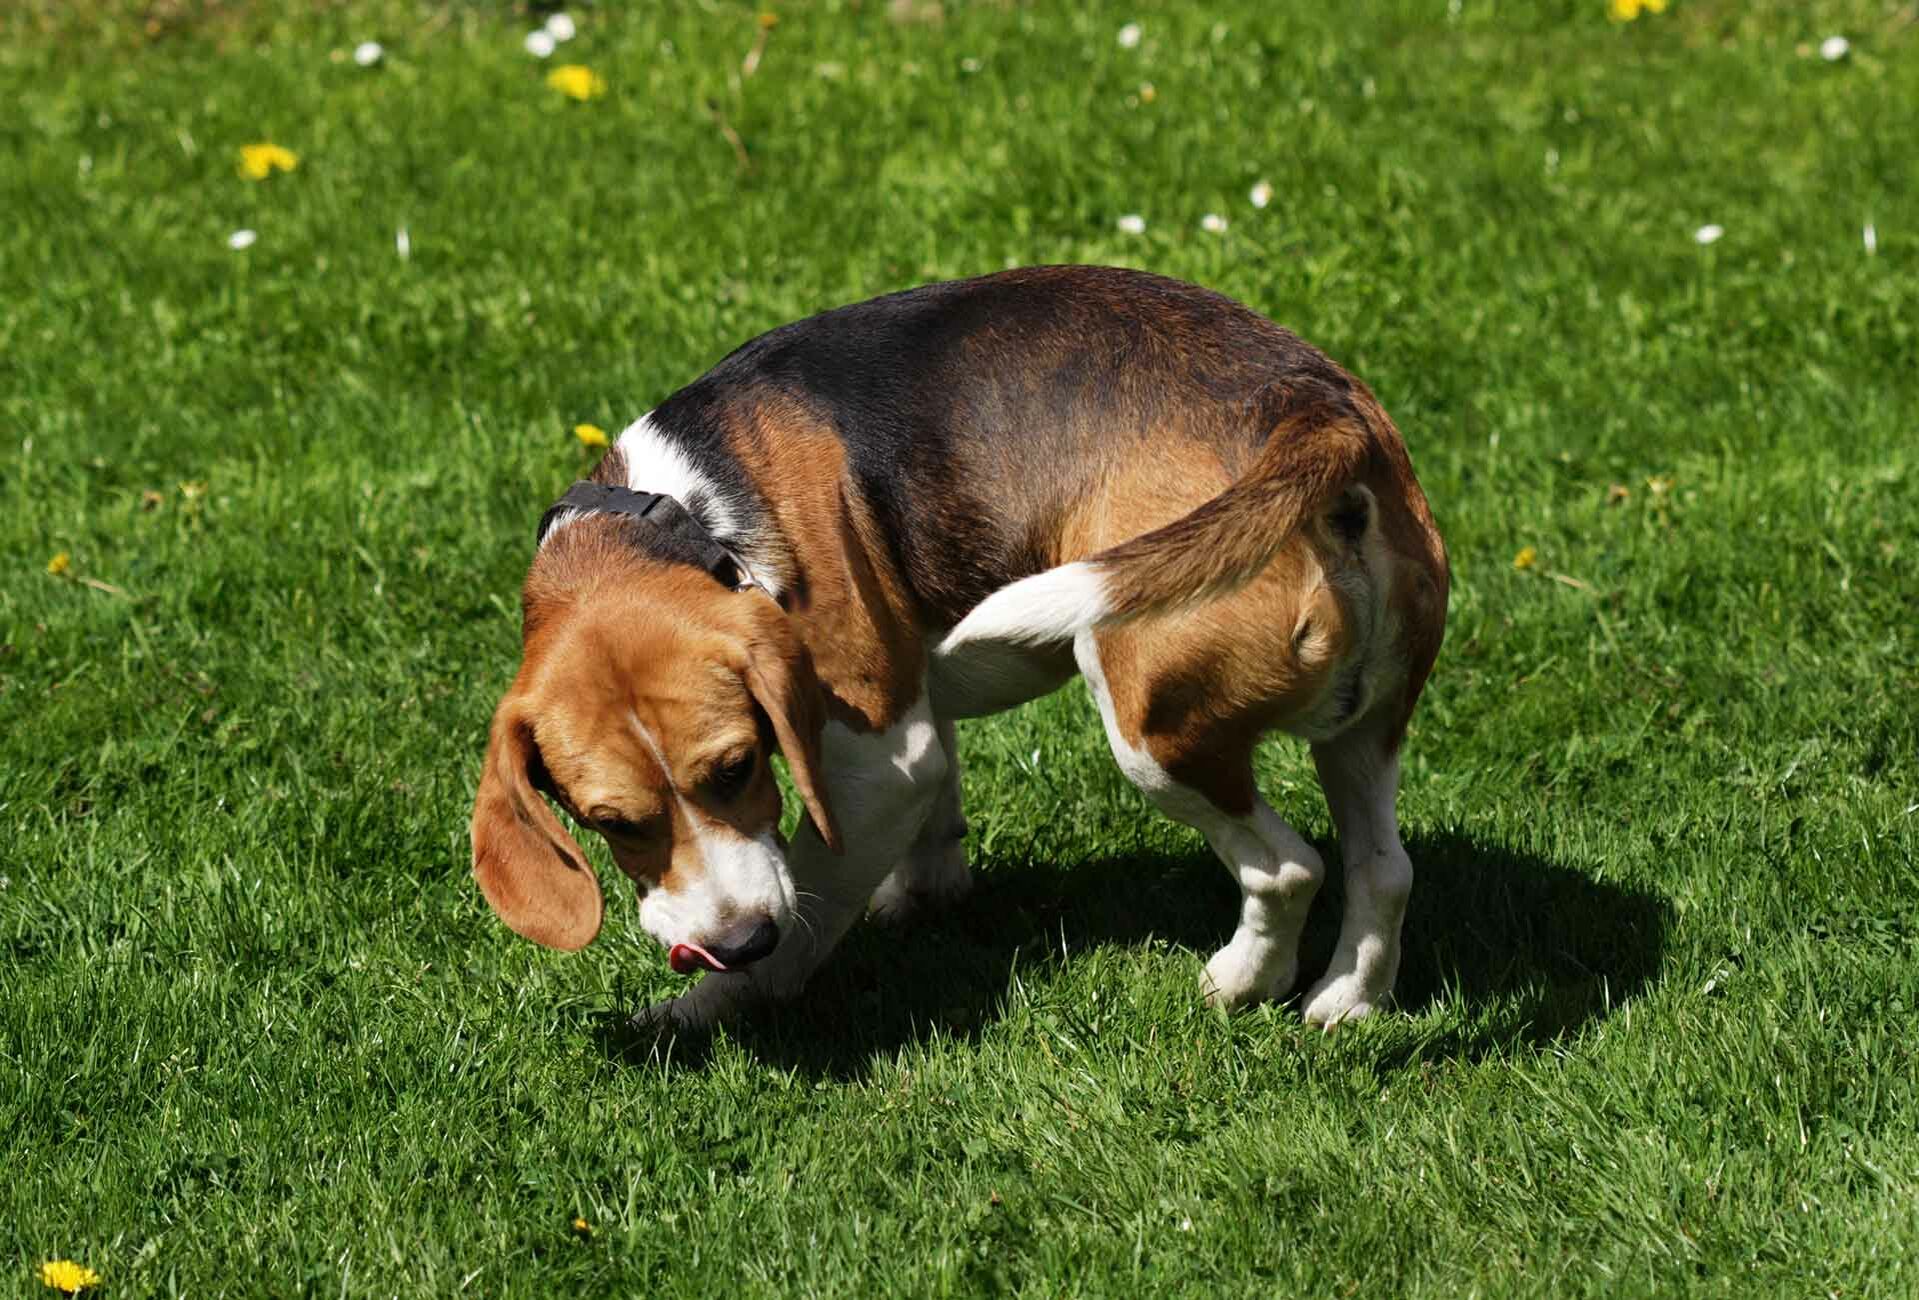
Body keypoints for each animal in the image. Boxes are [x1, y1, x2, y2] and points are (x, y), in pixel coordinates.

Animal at [472, 268, 1443, 1029]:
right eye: (609, 824)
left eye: (738, 768)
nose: (734, 942)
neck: (686, 517)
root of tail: (1311, 406)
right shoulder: (914, 736)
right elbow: (931, 823)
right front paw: (921, 895)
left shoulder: (881, 761)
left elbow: (813, 903)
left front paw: (717, 1006)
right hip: (1362, 729)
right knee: (1384, 868)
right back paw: (1347, 1001)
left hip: (1152, 728)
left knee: (1287, 869)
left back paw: (1242, 982)